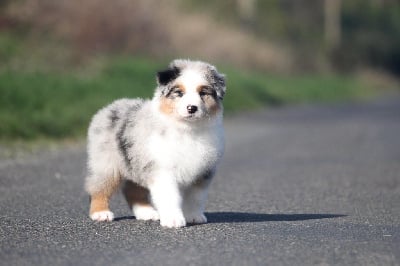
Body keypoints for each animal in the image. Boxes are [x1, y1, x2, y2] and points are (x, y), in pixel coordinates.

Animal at [85, 59, 227, 228]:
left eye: (203, 93)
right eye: (179, 93)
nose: (192, 108)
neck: (187, 129)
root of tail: (110, 106)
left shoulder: (203, 171)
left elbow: (196, 197)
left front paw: (193, 216)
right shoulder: (162, 169)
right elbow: (169, 196)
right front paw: (173, 220)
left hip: (136, 163)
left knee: (133, 190)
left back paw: (146, 212)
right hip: (107, 162)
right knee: (99, 187)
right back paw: (101, 213)